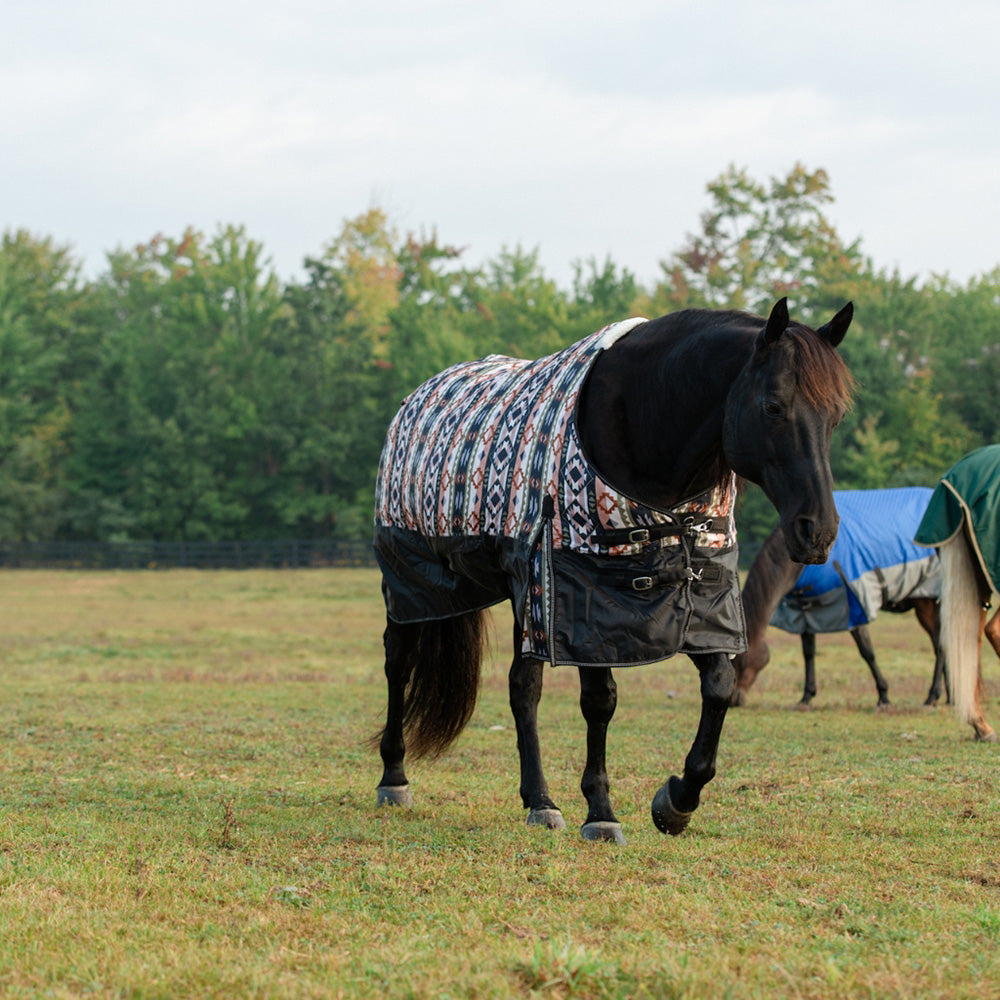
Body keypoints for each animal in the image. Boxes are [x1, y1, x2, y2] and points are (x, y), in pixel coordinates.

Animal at [372, 298, 854, 842]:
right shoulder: (588, 597)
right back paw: (394, 778)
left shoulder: (702, 598)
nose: (818, 531)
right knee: (399, 663)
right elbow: (600, 701)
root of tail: (416, 397)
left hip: (528, 593)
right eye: (773, 406)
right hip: (415, 581)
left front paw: (676, 800)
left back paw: (539, 800)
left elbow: (719, 686)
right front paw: (601, 811)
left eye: (836, 416)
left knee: (523, 689)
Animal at [732, 488, 945, 710]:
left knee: (940, 644)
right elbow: (808, 652)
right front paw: (806, 697)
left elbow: (867, 651)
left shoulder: (854, 604)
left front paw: (883, 696)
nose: (733, 699)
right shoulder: (804, 608)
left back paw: (932, 696)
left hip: (928, 602)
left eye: (738, 658)